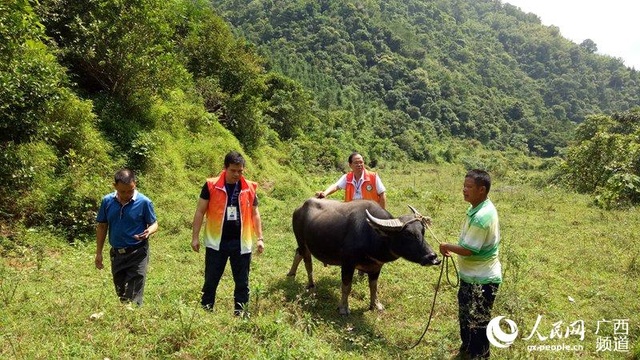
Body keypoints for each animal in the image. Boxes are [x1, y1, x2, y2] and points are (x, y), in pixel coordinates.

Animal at [286, 198, 440, 314]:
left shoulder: (376, 267)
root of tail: (299, 208)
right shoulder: (347, 264)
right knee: (307, 262)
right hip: (302, 241)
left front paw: (375, 305)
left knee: (298, 253)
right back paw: (311, 285)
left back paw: (291, 274)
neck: (371, 235)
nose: (432, 257)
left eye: (422, 231)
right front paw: (343, 308)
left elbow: (373, 286)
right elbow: (346, 286)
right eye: (408, 234)